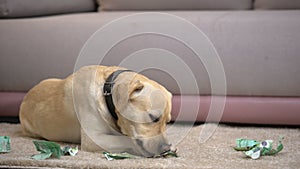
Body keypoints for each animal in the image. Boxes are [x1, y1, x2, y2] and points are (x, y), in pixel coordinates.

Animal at [19, 65, 173, 157]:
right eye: (153, 118)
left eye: (167, 122)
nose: (166, 148)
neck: (106, 90)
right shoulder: (94, 138)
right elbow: (126, 140)